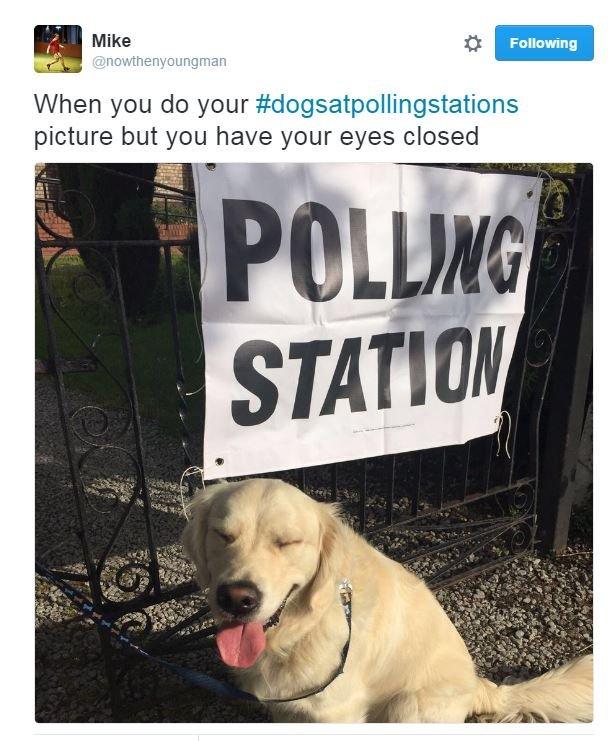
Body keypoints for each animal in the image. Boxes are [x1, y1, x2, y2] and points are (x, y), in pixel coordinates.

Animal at [180, 474, 588, 724]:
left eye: (287, 542)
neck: (302, 627)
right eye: (223, 535)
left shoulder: (334, 711)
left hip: (408, 704)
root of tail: (479, 686)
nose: (237, 599)